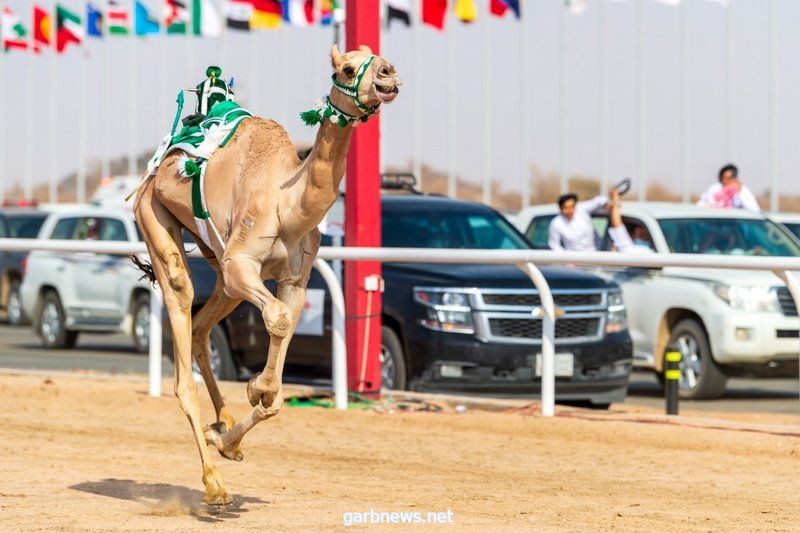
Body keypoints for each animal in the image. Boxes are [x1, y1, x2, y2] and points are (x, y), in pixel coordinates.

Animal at [136, 46, 406, 502]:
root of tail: (155, 169)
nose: (388, 74)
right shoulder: (243, 263)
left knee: (201, 328)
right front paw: (254, 390)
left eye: (377, 58)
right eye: (345, 69)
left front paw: (234, 429)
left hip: (219, 265)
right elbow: (276, 320)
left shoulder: (293, 279)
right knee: (180, 302)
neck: (288, 202)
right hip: (154, 217)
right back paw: (214, 485)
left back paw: (223, 425)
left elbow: (278, 382)